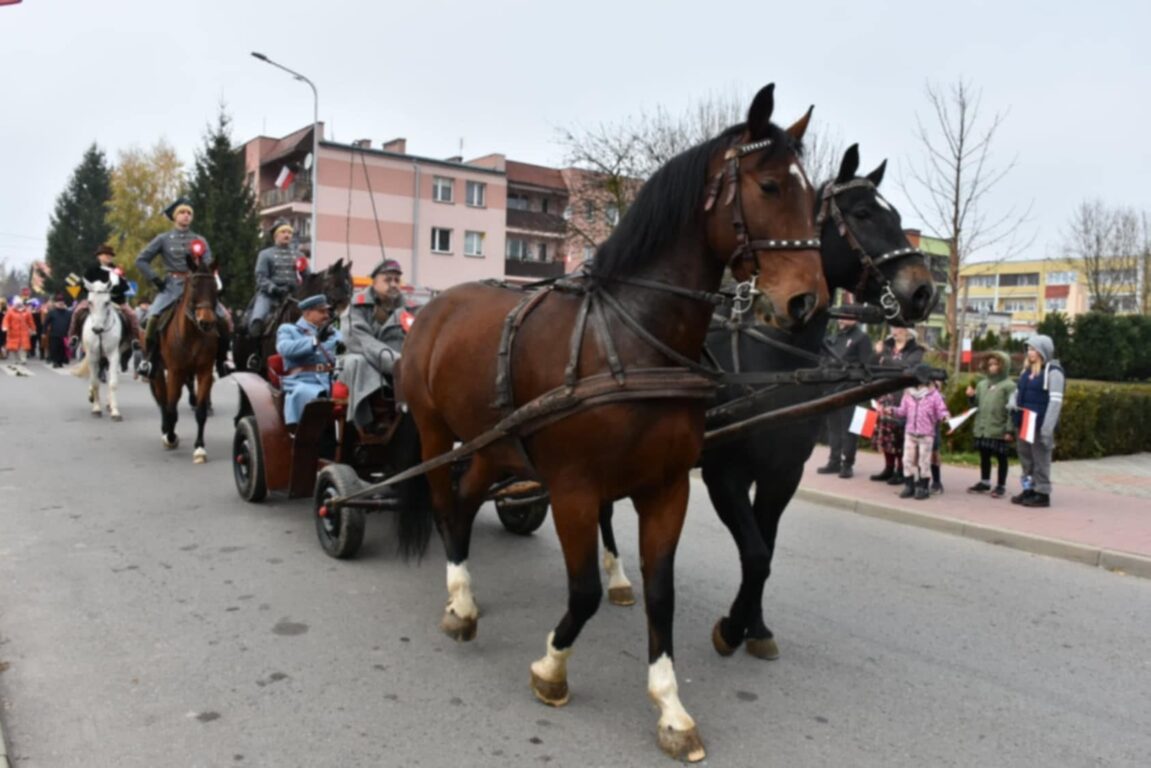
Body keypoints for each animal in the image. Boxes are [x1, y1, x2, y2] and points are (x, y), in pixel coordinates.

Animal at [72, 279, 123, 421]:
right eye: (90, 302)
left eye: (107, 302)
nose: (97, 329)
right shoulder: (92, 356)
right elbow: (95, 382)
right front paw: (96, 408)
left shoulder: (114, 355)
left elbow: (113, 383)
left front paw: (115, 411)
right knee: (93, 376)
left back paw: (109, 403)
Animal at [147, 251, 218, 462]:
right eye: (194, 285)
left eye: (214, 287)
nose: (206, 322)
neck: (192, 334)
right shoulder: (175, 371)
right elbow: (170, 408)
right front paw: (170, 437)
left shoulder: (204, 371)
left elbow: (201, 411)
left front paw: (200, 447)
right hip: (158, 370)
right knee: (163, 401)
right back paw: (166, 430)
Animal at [395, 85, 828, 764]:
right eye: (769, 186)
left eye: (815, 198)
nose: (806, 302)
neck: (629, 338)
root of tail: (437, 305)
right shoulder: (575, 490)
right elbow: (583, 592)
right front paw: (551, 668)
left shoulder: (666, 488)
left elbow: (661, 593)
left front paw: (671, 708)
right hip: (438, 432)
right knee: (444, 502)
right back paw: (460, 601)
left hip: (496, 444)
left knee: (464, 502)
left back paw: (465, 595)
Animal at [598, 143, 939, 663]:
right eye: (862, 213)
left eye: (897, 215)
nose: (922, 291)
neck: (774, 357)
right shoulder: (726, 473)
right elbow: (756, 554)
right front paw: (732, 627)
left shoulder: (783, 473)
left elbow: (766, 548)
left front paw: (754, 625)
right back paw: (616, 576)